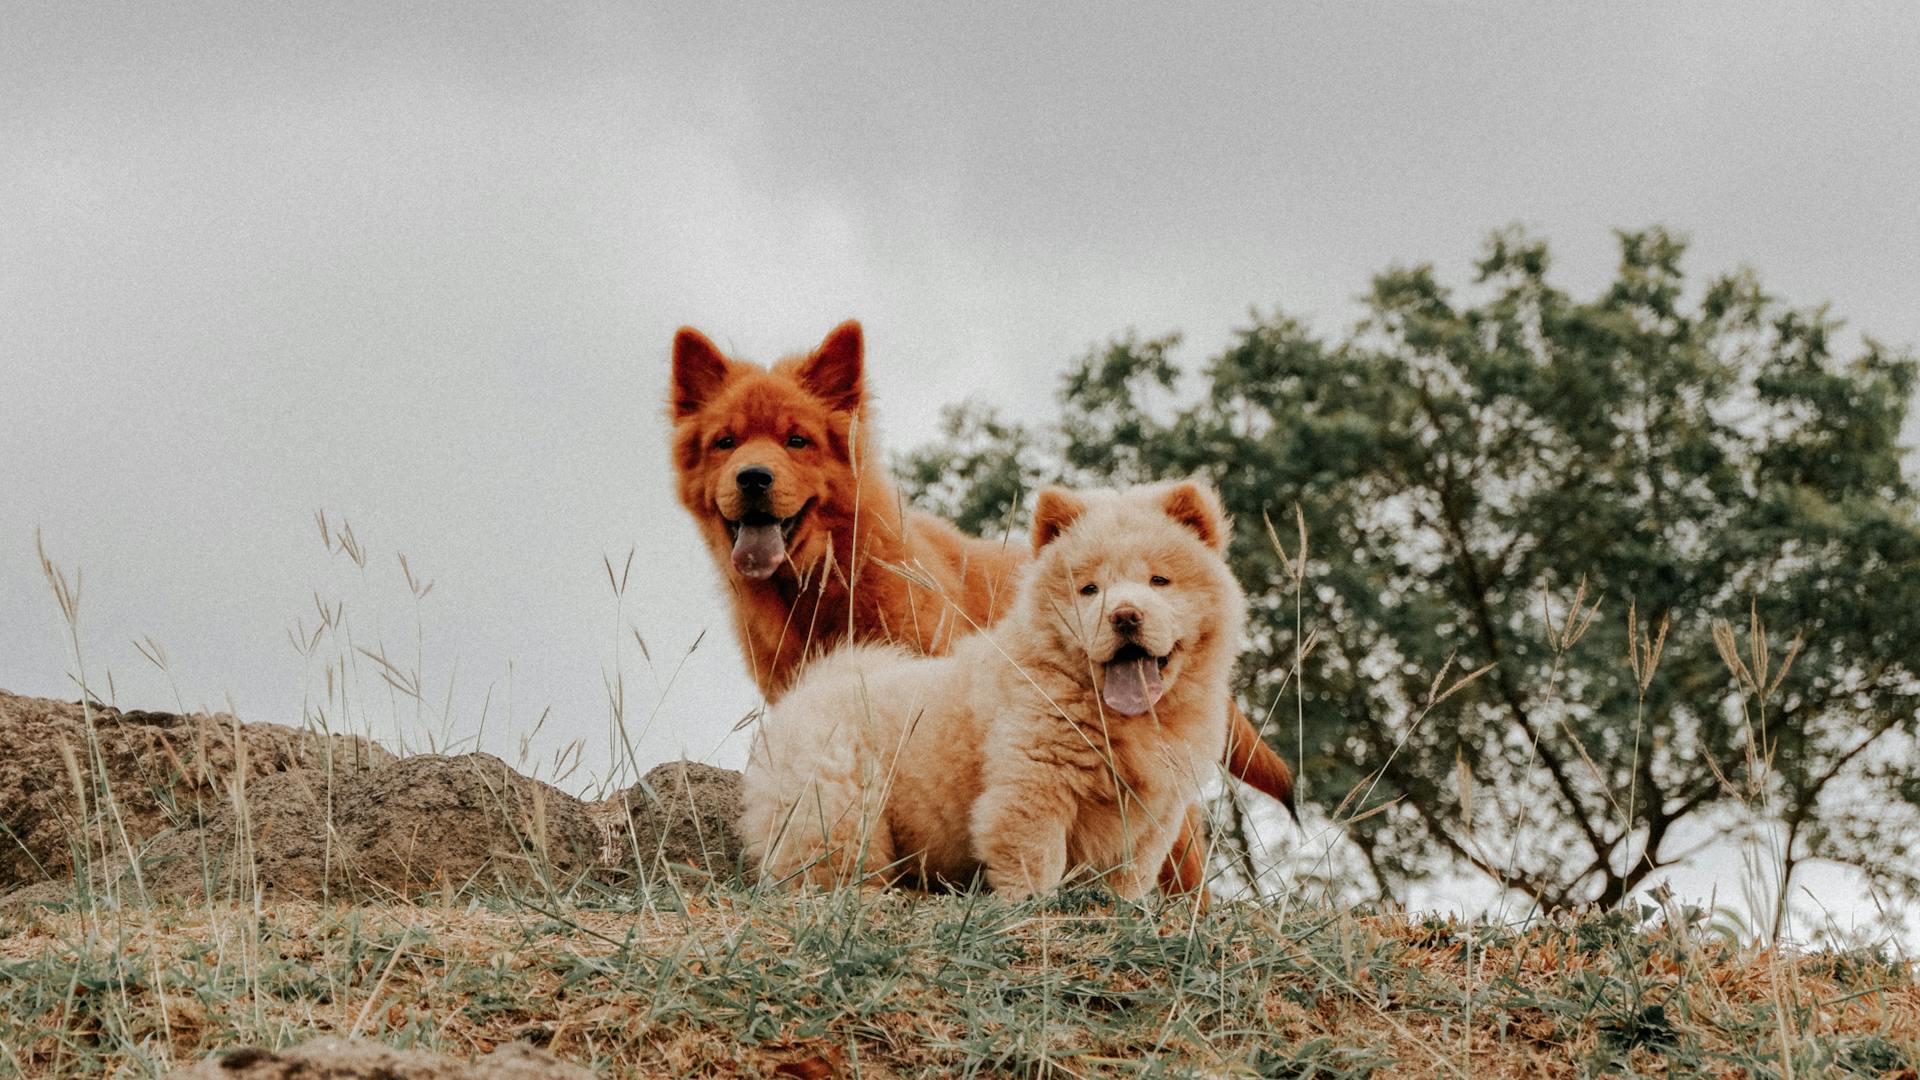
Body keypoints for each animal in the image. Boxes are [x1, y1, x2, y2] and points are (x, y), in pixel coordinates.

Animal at [733, 474, 1244, 895]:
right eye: (1089, 589)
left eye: (1159, 580)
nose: (1124, 615)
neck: (1129, 720)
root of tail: (807, 691)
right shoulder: (1033, 785)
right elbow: (1035, 860)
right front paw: (1032, 910)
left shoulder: (1155, 810)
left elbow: (1129, 875)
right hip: (837, 798)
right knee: (831, 863)